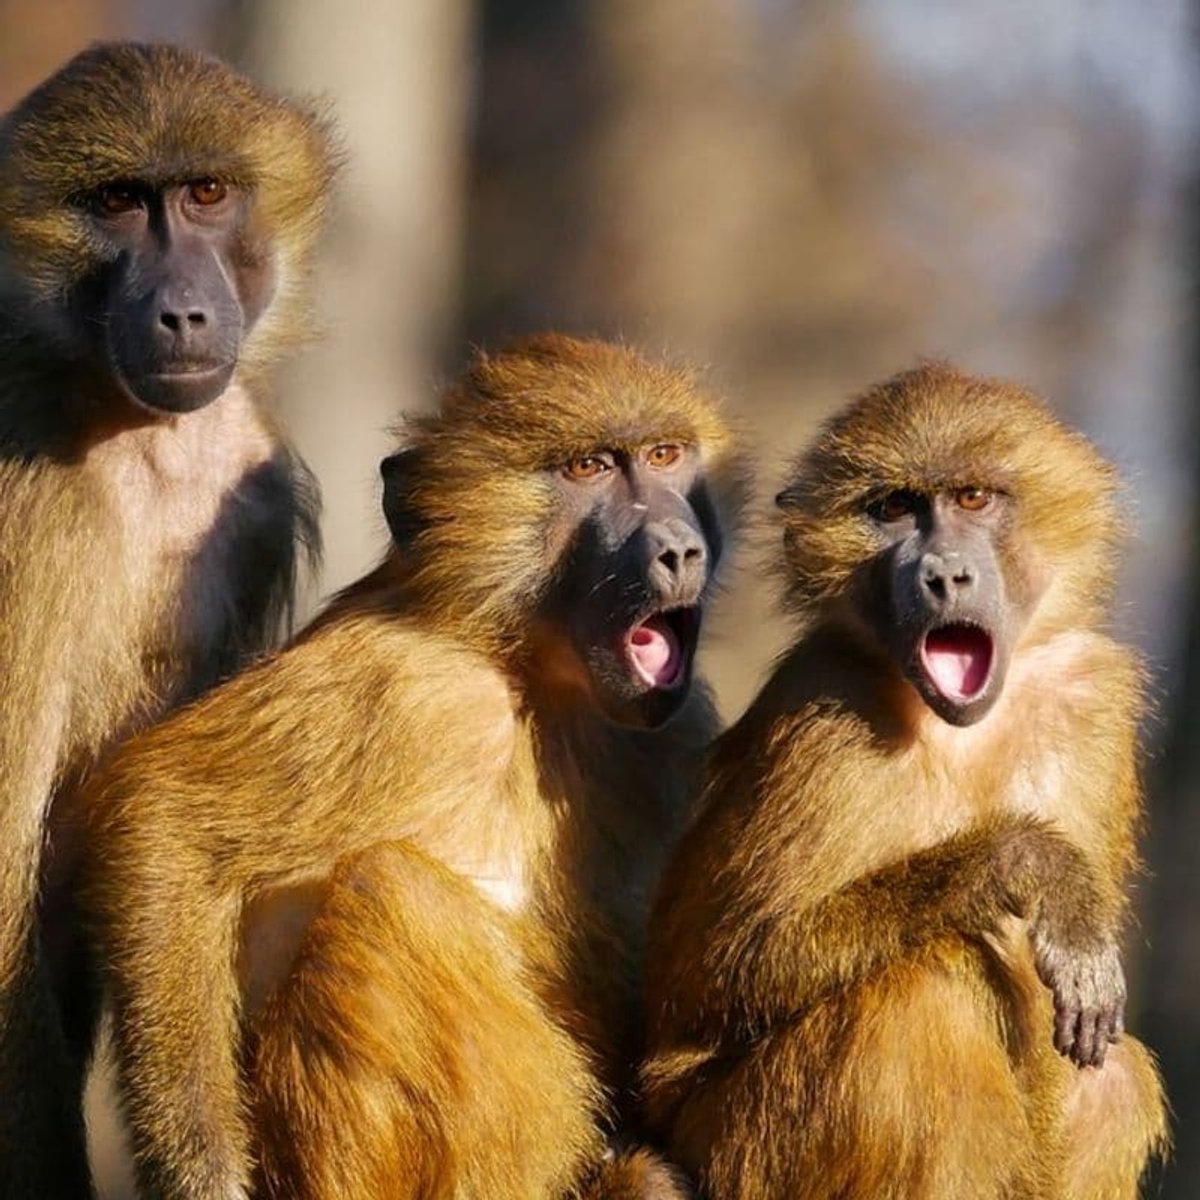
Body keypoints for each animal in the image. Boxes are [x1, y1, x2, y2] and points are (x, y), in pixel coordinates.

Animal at [77, 334, 744, 1200]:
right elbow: (164, 814)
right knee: (389, 893)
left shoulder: (675, 728)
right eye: (589, 468)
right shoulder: (405, 682)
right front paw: (203, 1174)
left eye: (665, 456)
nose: (679, 548)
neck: (529, 676)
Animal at [641, 364, 1168, 1200]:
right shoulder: (822, 716)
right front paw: (1033, 867)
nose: (943, 574)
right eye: (893, 509)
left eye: (974, 498)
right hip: (737, 1145)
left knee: (1109, 1080)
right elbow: (725, 968)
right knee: (920, 998)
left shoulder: (1091, 698)